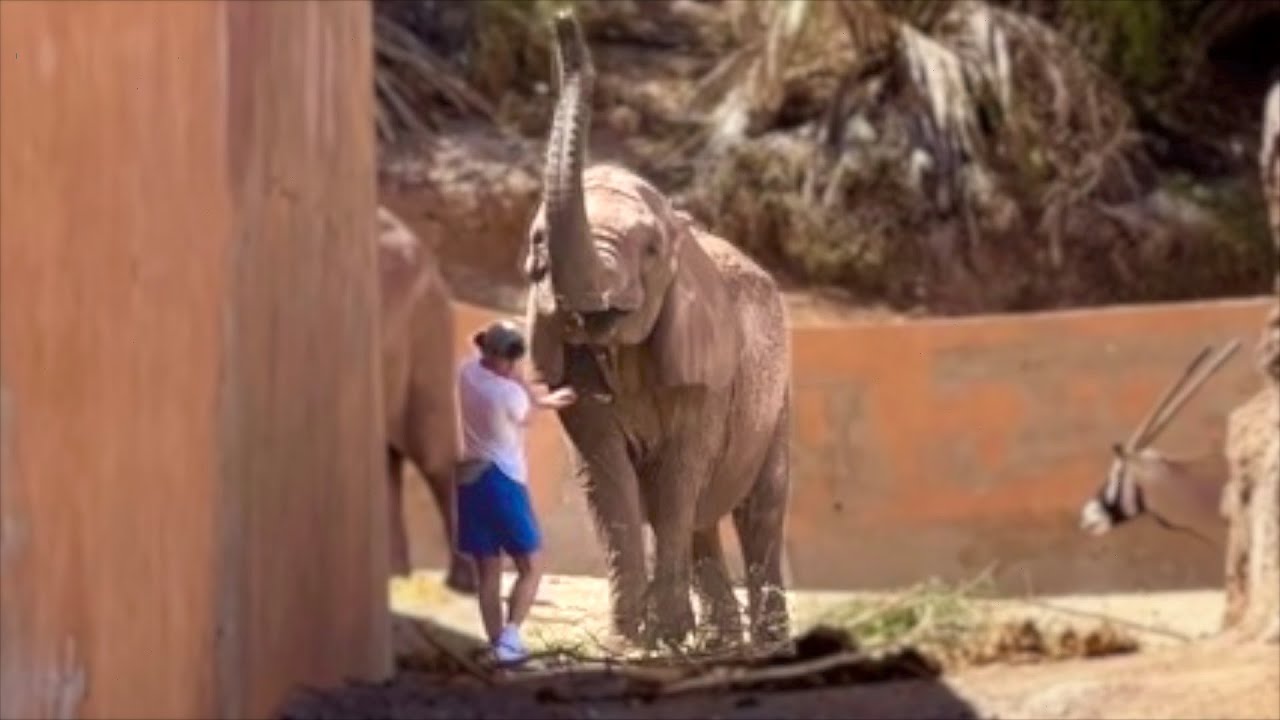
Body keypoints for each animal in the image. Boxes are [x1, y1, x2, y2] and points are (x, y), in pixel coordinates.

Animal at [521, 12, 793, 649]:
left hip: (778, 401)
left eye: (649, 250)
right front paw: (632, 640)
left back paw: (767, 643)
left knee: (759, 508)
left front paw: (659, 636)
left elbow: (677, 475)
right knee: (703, 520)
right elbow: (610, 478)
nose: (563, 22)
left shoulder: (708, 369)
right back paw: (717, 641)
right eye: (539, 242)